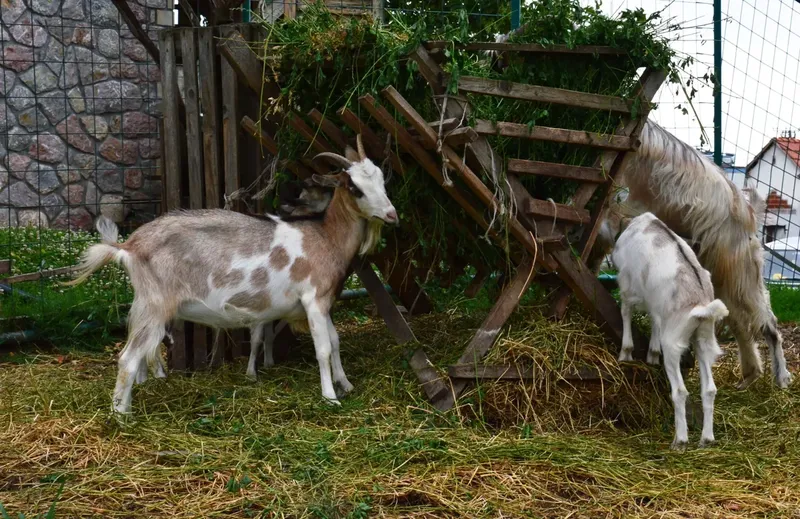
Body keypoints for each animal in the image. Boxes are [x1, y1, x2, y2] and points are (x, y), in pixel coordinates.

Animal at [66, 136, 398, 414]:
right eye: (354, 187)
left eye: (382, 179)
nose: (392, 214)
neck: (326, 238)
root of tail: (129, 246)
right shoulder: (313, 299)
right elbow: (324, 348)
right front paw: (330, 397)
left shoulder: (324, 301)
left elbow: (336, 340)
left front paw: (346, 385)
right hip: (155, 304)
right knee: (128, 358)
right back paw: (122, 416)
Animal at [596, 120, 792, 390]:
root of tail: (749, 210)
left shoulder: (613, 208)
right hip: (718, 274)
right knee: (740, 323)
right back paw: (749, 376)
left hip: (737, 273)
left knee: (766, 321)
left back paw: (780, 376)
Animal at [611, 212, 729, 449]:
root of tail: (701, 306)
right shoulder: (657, 307)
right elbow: (655, 321)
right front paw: (652, 355)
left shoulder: (627, 283)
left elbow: (626, 310)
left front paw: (625, 353)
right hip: (703, 340)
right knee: (709, 389)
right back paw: (706, 439)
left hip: (674, 343)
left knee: (680, 391)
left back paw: (680, 441)